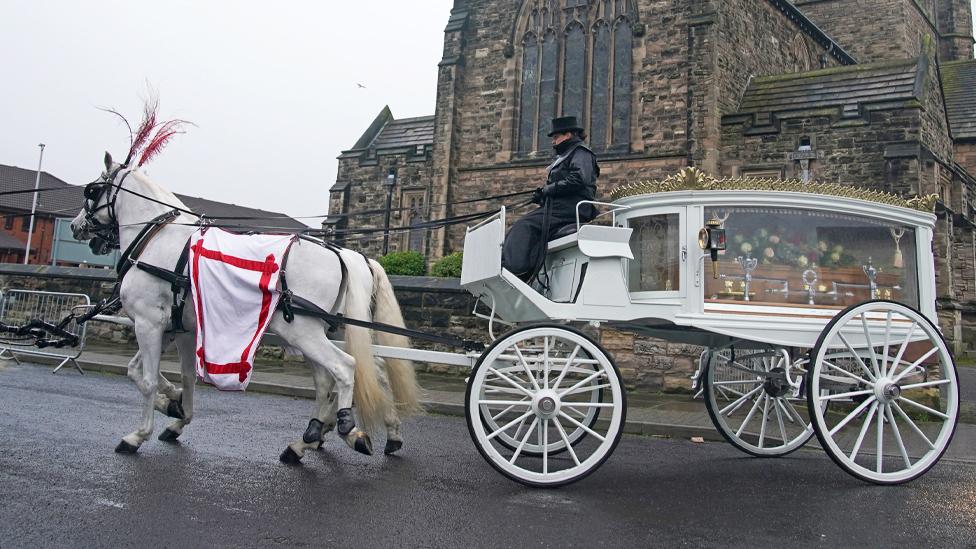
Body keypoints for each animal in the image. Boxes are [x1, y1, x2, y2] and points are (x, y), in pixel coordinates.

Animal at [68, 152, 420, 460]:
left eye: (92, 190)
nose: (75, 225)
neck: (158, 237)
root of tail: (344, 254)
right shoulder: (175, 328)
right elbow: (164, 374)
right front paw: (175, 407)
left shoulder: (148, 321)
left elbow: (149, 380)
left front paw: (139, 433)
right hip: (325, 330)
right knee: (356, 374)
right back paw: (325, 436)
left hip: (303, 331)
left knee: (344, 368)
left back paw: (346, 429)